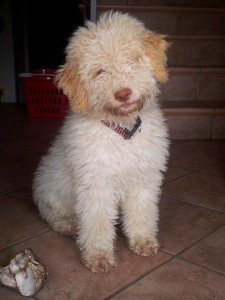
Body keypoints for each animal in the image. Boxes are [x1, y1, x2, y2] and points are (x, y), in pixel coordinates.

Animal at [32, 11, 170, 274]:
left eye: (132, 59)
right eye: (99, 72)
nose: (123, 94)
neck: (122, 132)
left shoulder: (143, 177)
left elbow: (142, 210)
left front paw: (142, 241)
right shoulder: (96, 183)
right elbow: (97, 222)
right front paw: (98, 256)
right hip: (49, 190)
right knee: (54, 216)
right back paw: (69, 225)